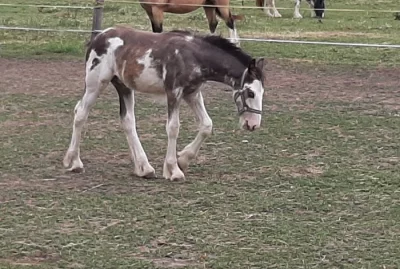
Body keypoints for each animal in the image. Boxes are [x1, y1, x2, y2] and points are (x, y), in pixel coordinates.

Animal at [63, 25, 266, 180]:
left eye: (262, 92)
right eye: (250, 92)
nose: (253, 124)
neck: (193, 55)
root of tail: (99, 36)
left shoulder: (192, 93)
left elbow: (207, 125)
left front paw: (183, 159)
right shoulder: (173, 92)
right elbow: (173, 128)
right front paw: (173, 170)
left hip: (124, 87)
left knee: (127, 121)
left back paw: (144, 168)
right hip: (96, 83)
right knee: (81, 113)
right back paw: (74, 162)